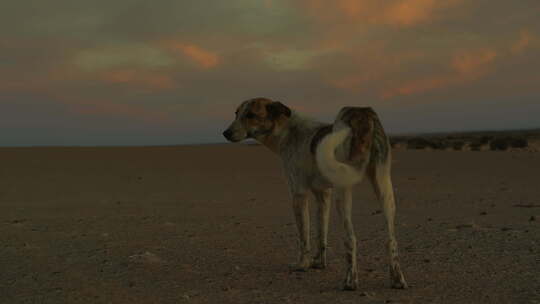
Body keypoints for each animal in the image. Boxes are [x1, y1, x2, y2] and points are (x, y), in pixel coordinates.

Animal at [221, 97, 408, 290]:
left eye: (251, 115)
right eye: (236, 113)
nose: (225, 133)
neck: (287, 131)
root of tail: (362, 113)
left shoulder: (298, 194)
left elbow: (304, 236)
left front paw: (302, 265)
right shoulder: (323, 195)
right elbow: (321, 233)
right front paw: (319, 263)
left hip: (343, 192)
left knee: (351, 238)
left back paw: (350, 281)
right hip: (384, 188)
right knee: (391, 240)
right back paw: (397, 279)